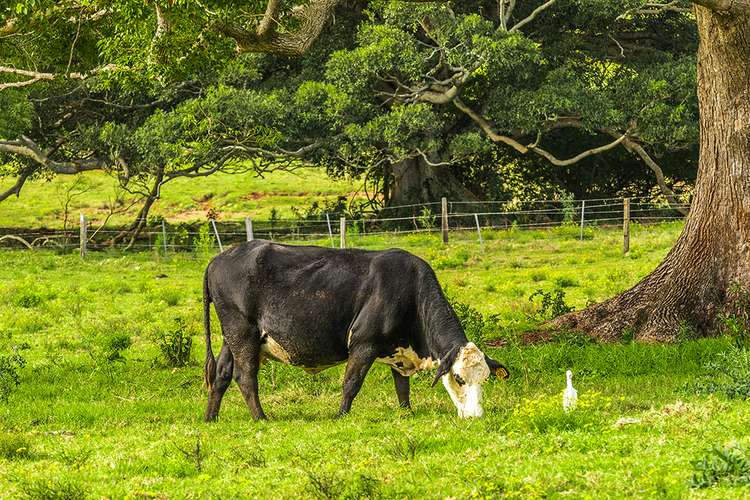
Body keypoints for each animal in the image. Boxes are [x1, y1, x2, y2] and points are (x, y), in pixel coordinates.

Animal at [203, 240, 508, 420]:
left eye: (485, 378)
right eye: (458, 378)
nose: (476, 415)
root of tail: (219, 258)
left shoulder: (398, 352)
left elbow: (402, 387)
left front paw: (406, 413)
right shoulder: (364, 343)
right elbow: (351, 383)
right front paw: (341, 415)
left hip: (231, 337)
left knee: (222, 374)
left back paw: (211, 417)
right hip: (243, 333)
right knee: (245, 376)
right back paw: (261, 417)